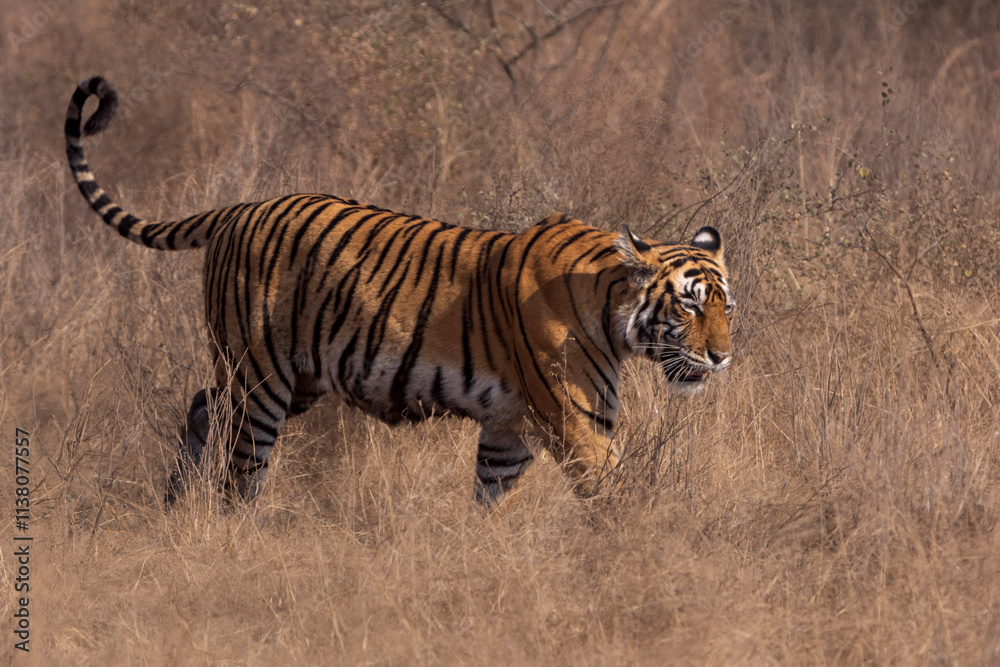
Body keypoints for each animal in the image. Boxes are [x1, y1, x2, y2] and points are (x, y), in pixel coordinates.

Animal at [65, 76, 734, 506]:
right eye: (689, 303)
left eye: (729, 306)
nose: (722, 357)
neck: (611, 311)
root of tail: (239, 208)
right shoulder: (574, 418)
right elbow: (619, 494)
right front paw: (645, 554)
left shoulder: (509, 427)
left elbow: (490, 501)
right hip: (260, 375)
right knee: (240, 467)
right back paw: (228, 526)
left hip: (292, 376)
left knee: (203, 404)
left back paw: (174, 504)